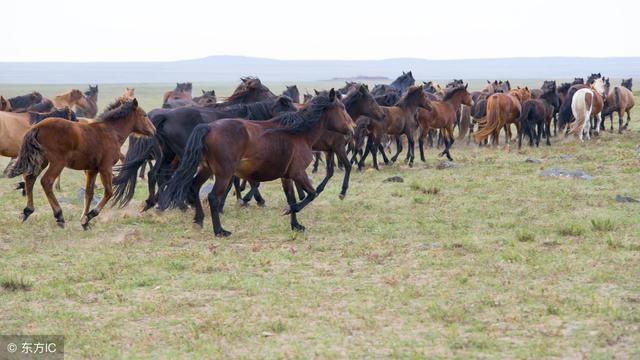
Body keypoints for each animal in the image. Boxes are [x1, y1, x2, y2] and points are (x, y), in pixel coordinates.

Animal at [7, 97, 155, 229]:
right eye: (144, 115)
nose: (153, 130)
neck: (110, 131)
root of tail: (38, 126)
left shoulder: (92, 170)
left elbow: (89, 193)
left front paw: (85, 221)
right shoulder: (105, 168)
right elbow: (108, 192)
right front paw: (90, 215)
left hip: (42, 160)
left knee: (30, 178)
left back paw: (27, 211)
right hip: (57, 162)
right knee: (46, 181)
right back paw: (59, 215)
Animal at [157, 89, 352, 236]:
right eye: (342, 108)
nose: (352, 128)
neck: (299, 133)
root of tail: (209, 127)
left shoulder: (287, 176)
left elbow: (291, 198)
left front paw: (296, 225)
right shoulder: (298, 172)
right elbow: (311, 194)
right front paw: (288, 212)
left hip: (206, 169)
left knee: (194, 187)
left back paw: (198, 220)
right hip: (223, 173)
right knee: (212, 196)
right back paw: (220, 231)